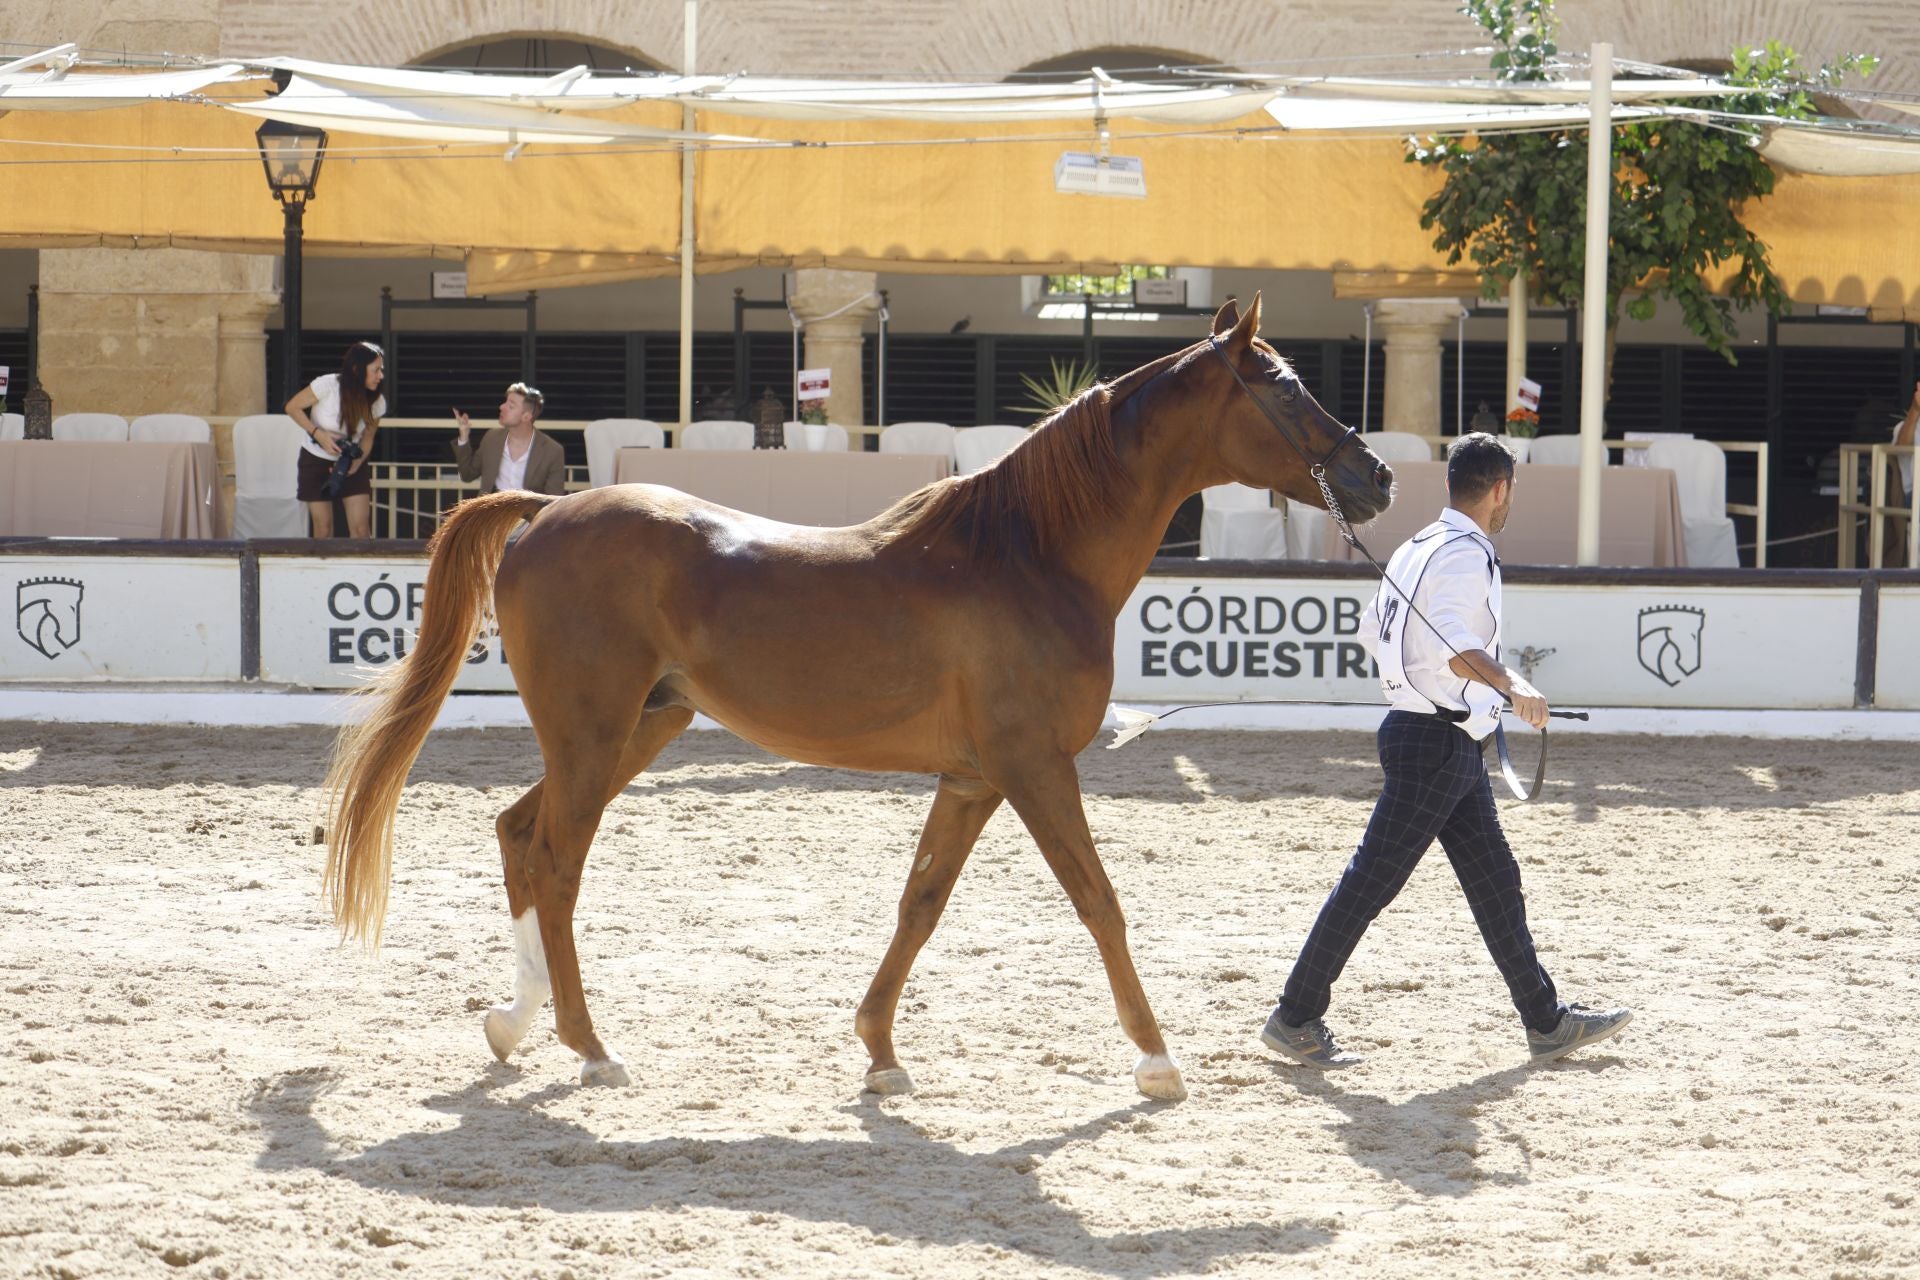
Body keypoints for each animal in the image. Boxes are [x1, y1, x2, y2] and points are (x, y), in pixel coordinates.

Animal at [323, 294, 1393, 1103]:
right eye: (1285, 388)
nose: (1375, 474)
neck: (1030, 554)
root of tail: (548, 509)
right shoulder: (1035, 767)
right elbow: (1099, 901)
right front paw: (1158, 1061)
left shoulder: (973, 780)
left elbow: (919, 904)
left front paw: (880, 1052)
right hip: (592, 737)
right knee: (554, 865)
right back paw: (590, 1049)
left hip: (640, 727)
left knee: (517, 835)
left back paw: (513, 1024)